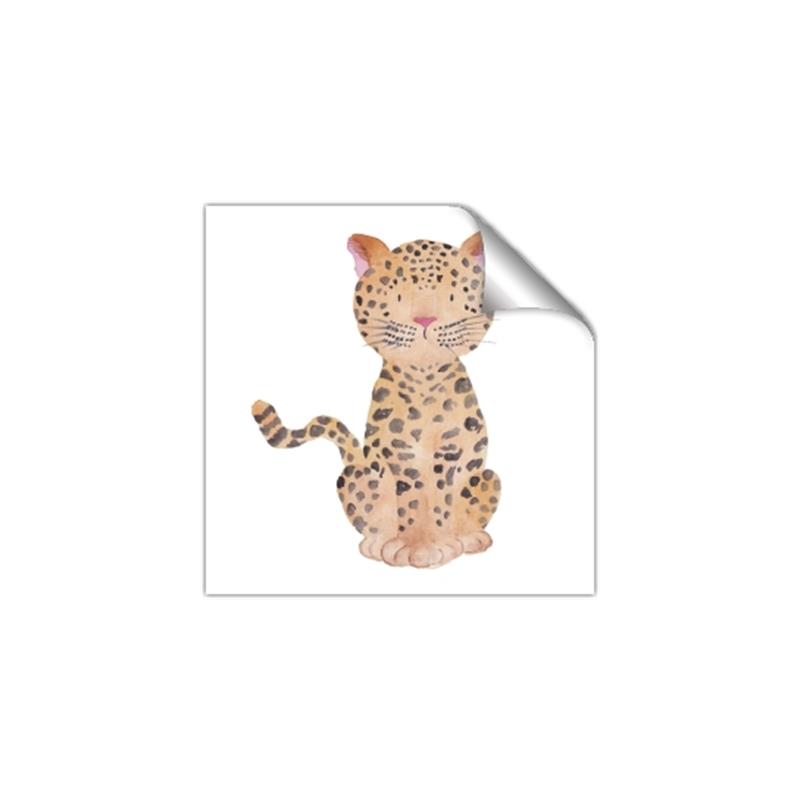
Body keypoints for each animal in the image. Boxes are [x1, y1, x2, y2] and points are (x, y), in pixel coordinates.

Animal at [252, 231, 501, 568]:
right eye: (396, 293)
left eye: (451, 292)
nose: (425, 319)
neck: (424, 377)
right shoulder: (400, 455)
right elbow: (411, 502)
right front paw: (415, 547)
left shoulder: (448, 454)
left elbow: (440, 501)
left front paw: (437, 545)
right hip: (354, 476)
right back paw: (378, 542)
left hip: (487, 477)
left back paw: (469, 538)